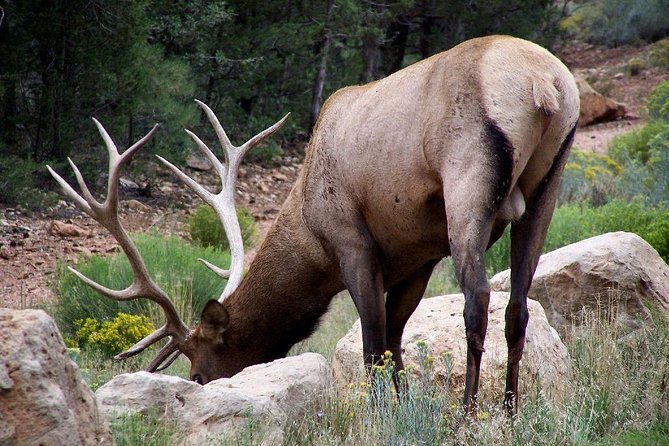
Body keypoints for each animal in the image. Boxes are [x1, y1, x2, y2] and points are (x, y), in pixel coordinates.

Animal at [49, 34, 576, 414]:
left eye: (198, 371)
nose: (200, 387)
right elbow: (395, 339)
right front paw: (403, 406)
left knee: (478, 298)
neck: (308, 233)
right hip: (547, 188)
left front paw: (380, 414)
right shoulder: (418, 257)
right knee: (517, 306)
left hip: (467, 180)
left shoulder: (352, 244)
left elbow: (372, 345)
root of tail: (547, 84)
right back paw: (509, 411)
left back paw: (469, 412)